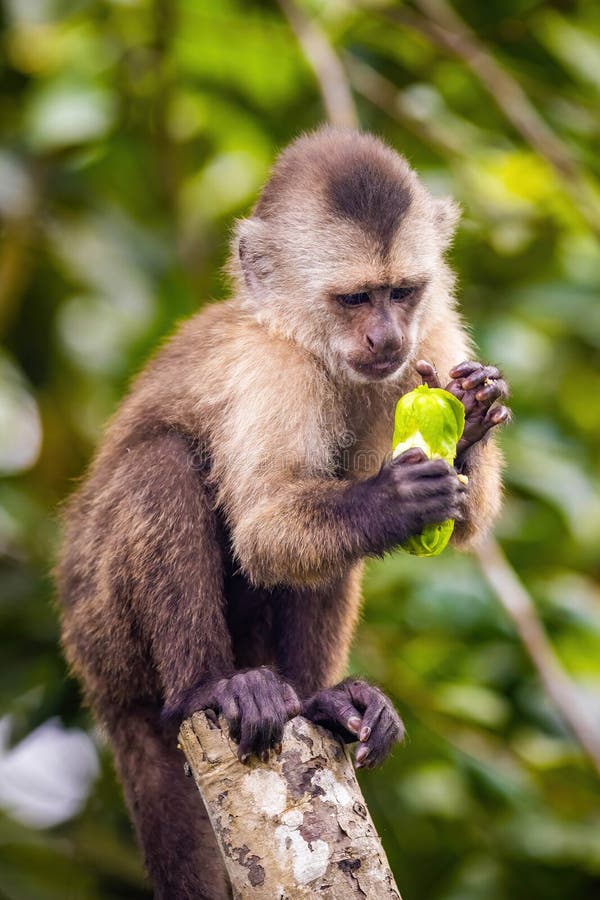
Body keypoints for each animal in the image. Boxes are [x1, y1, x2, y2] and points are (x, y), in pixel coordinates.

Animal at [56, 128, 508, 900]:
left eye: (401, 293)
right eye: (355, 298)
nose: (386, 339)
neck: (314, 345)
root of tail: (99, 688)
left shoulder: (436, 333)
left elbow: (464, 524)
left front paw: (474, 415)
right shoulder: (274, 367)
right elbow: (265, 529)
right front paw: (392, 500)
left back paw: (321, 701)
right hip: (100, 625)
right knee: (162, 464)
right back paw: (208, 688)